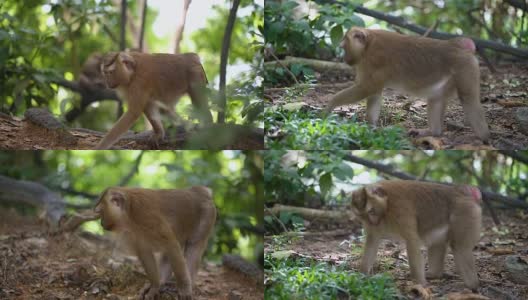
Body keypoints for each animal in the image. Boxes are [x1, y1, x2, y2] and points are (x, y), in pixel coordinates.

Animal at [326, 27, 490, 142]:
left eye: (344, 47)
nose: (345, 58)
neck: (368, 44)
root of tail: (457, 46)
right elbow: (374, 92)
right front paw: (371, 127)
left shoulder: (374, 60)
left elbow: (368, 88)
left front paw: (329, 106)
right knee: (436, 98)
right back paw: (433, 132)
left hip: (465, 67)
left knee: (468, 99)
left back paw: (484, 138)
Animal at [350, 179, 482, 290]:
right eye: (362, 216)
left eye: (371, 211)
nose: (372, 222)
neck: (387, 207)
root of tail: (460, 191)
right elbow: (372, 241)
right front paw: (361, 276)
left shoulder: (401, 210)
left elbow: (412, 241)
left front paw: (420, 285)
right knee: (437, 243)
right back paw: (434, 274)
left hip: (465, 213)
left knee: (460, 247)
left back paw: (472, 285)